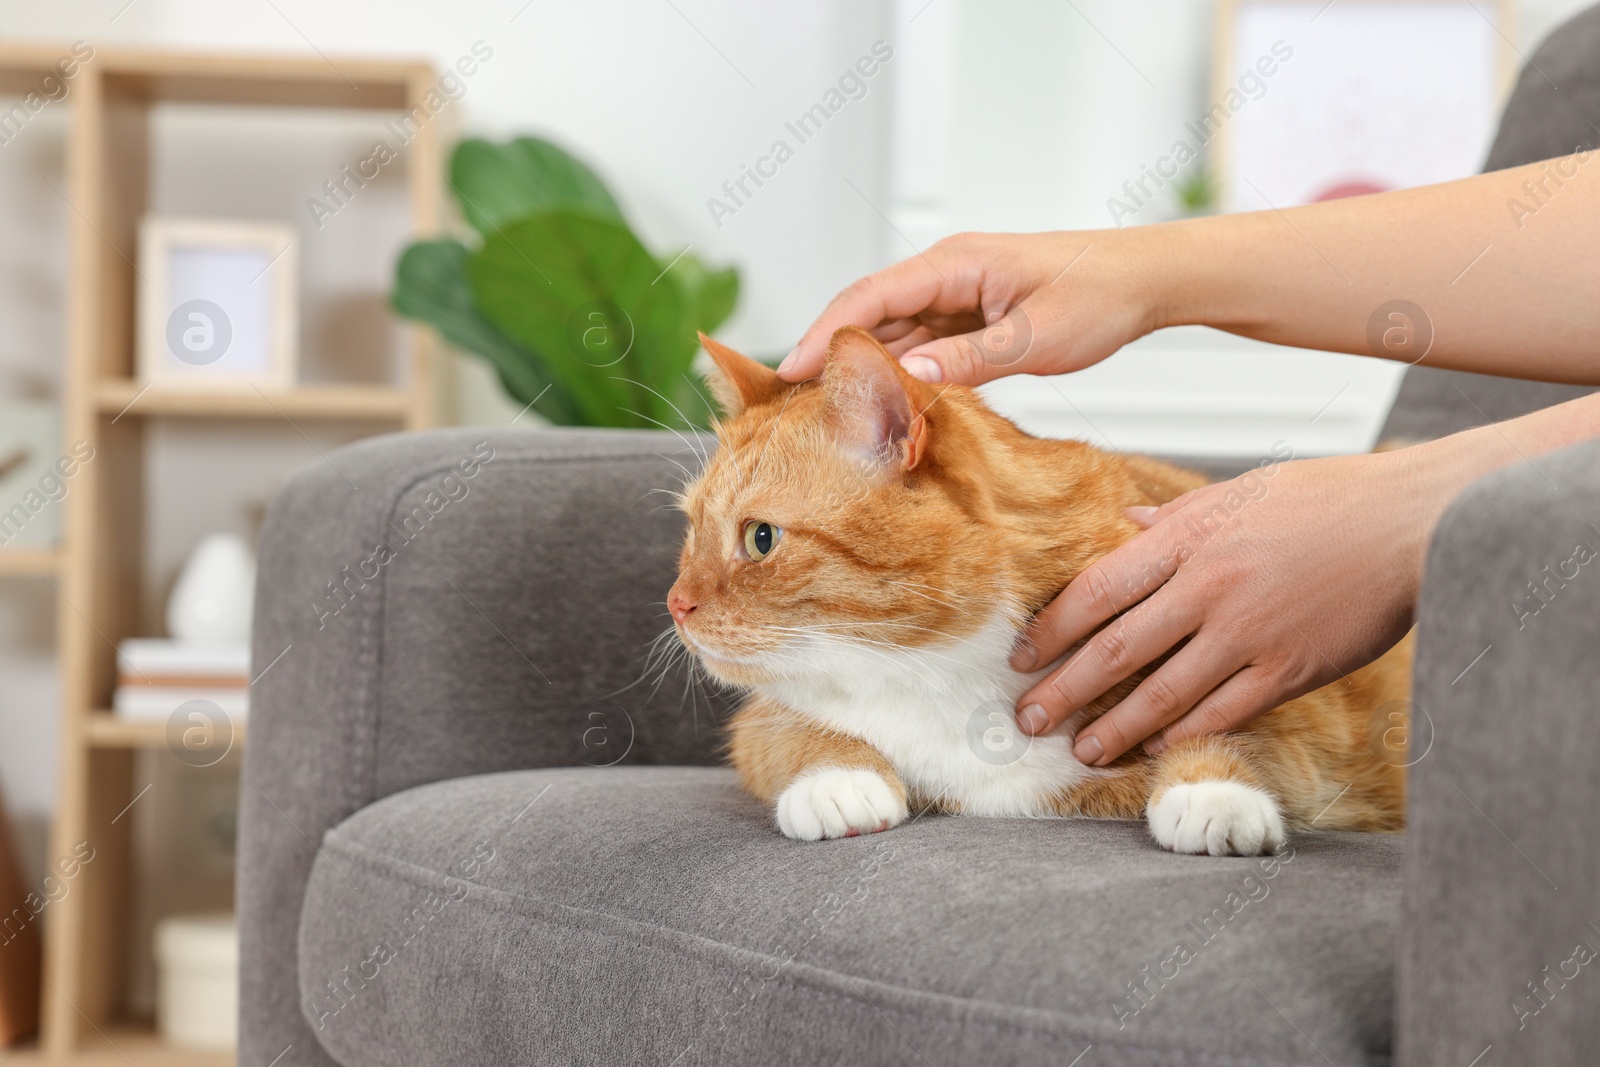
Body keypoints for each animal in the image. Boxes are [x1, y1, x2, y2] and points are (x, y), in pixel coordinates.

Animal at [668, 329, 1408, 857]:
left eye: (761, 538)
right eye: (691, 528)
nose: (676, 604)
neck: (937, 669)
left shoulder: (1275, 694)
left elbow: (1225, 729)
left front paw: (1212, 794)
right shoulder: (759, 722)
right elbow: (801, 730)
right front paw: (838, 780)